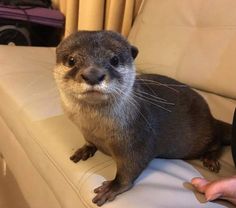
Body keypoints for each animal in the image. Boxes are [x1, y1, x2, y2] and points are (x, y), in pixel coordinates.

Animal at [53, 30, 232, 206]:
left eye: (114, 60)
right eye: (71, 60)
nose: (93, 74)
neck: (96, 130)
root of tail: (212, 116)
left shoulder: (138, 138)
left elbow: (131, 167)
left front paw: (112, 187)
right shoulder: (86, 132)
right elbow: (89, 142)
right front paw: (85, 149)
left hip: (202, 135)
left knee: (217, 140)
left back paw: (210, 159)